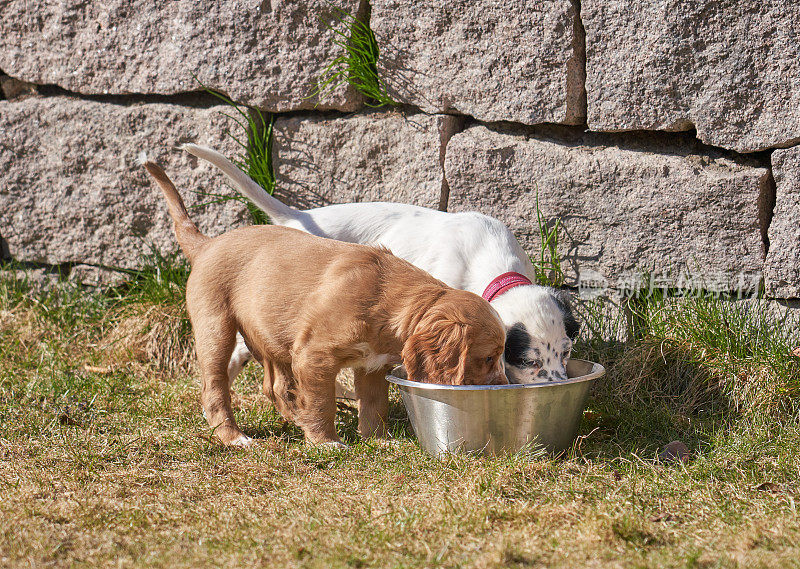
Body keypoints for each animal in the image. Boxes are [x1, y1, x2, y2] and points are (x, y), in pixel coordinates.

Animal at [144, 161, 506, 448]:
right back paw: (235, 437)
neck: (392, 298)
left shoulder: (371, 365)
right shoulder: (314, 356)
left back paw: (294, 417)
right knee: (214, 388)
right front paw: (326, 442)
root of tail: (206, 244)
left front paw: (378, 440)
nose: (504, 387)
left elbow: (374, 404)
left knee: (274, 385)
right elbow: (322, 402)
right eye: (488, 358)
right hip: (216, 328)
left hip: (271, 333)